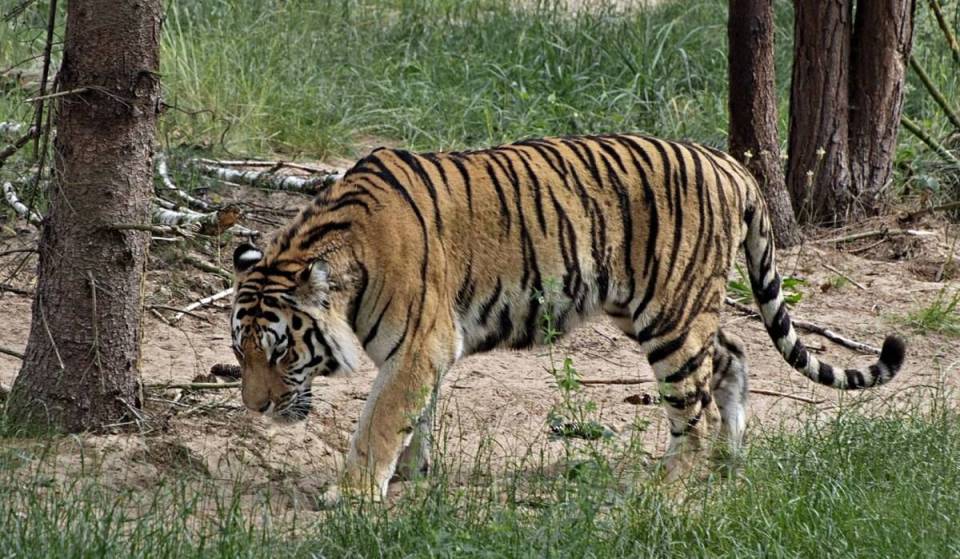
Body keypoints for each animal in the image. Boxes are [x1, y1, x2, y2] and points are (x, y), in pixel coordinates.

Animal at [229, 133, 906, 504]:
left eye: (282, 351)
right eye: (241, 353)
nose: (256, 408)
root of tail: (730, 164)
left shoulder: (419, 345)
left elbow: (379, 421)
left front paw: (353, 494)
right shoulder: (424, 351)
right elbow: (414, 416)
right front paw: (412, 475)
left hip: (670, 317)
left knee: (696, 409)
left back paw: (670, 489)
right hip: (663, 309)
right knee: (732, 355)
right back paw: (729, 463)